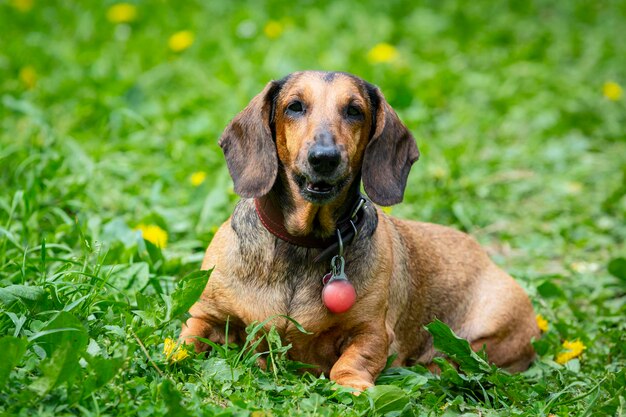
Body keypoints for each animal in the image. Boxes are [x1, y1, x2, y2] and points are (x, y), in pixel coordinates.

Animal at [179, 70, 536, 390]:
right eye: (294, 106)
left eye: (354, 111)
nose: (324, 158)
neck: (304, 244)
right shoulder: (206, 314)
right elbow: (186, 339)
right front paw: (172, 360)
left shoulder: (373, 332)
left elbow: (354, 360)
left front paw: (352, 386)